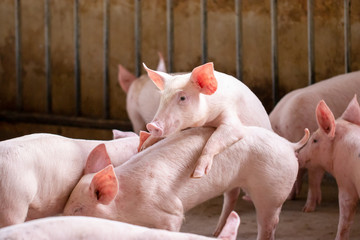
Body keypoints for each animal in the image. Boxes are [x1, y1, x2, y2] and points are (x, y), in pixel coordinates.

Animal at [63, 125, 308, 240]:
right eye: (67, 205)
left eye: (78, 209)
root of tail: (290, 145)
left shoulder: (170, 212)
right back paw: (215, 232)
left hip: (272, 188)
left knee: (268, 221)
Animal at [142, 62, 272, 178]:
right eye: (162, 97)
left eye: (183, 98)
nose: (152, 126)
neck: (207, 120)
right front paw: (144, 147)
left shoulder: (231, 115)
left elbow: (216, 139)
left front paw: (197, 174)